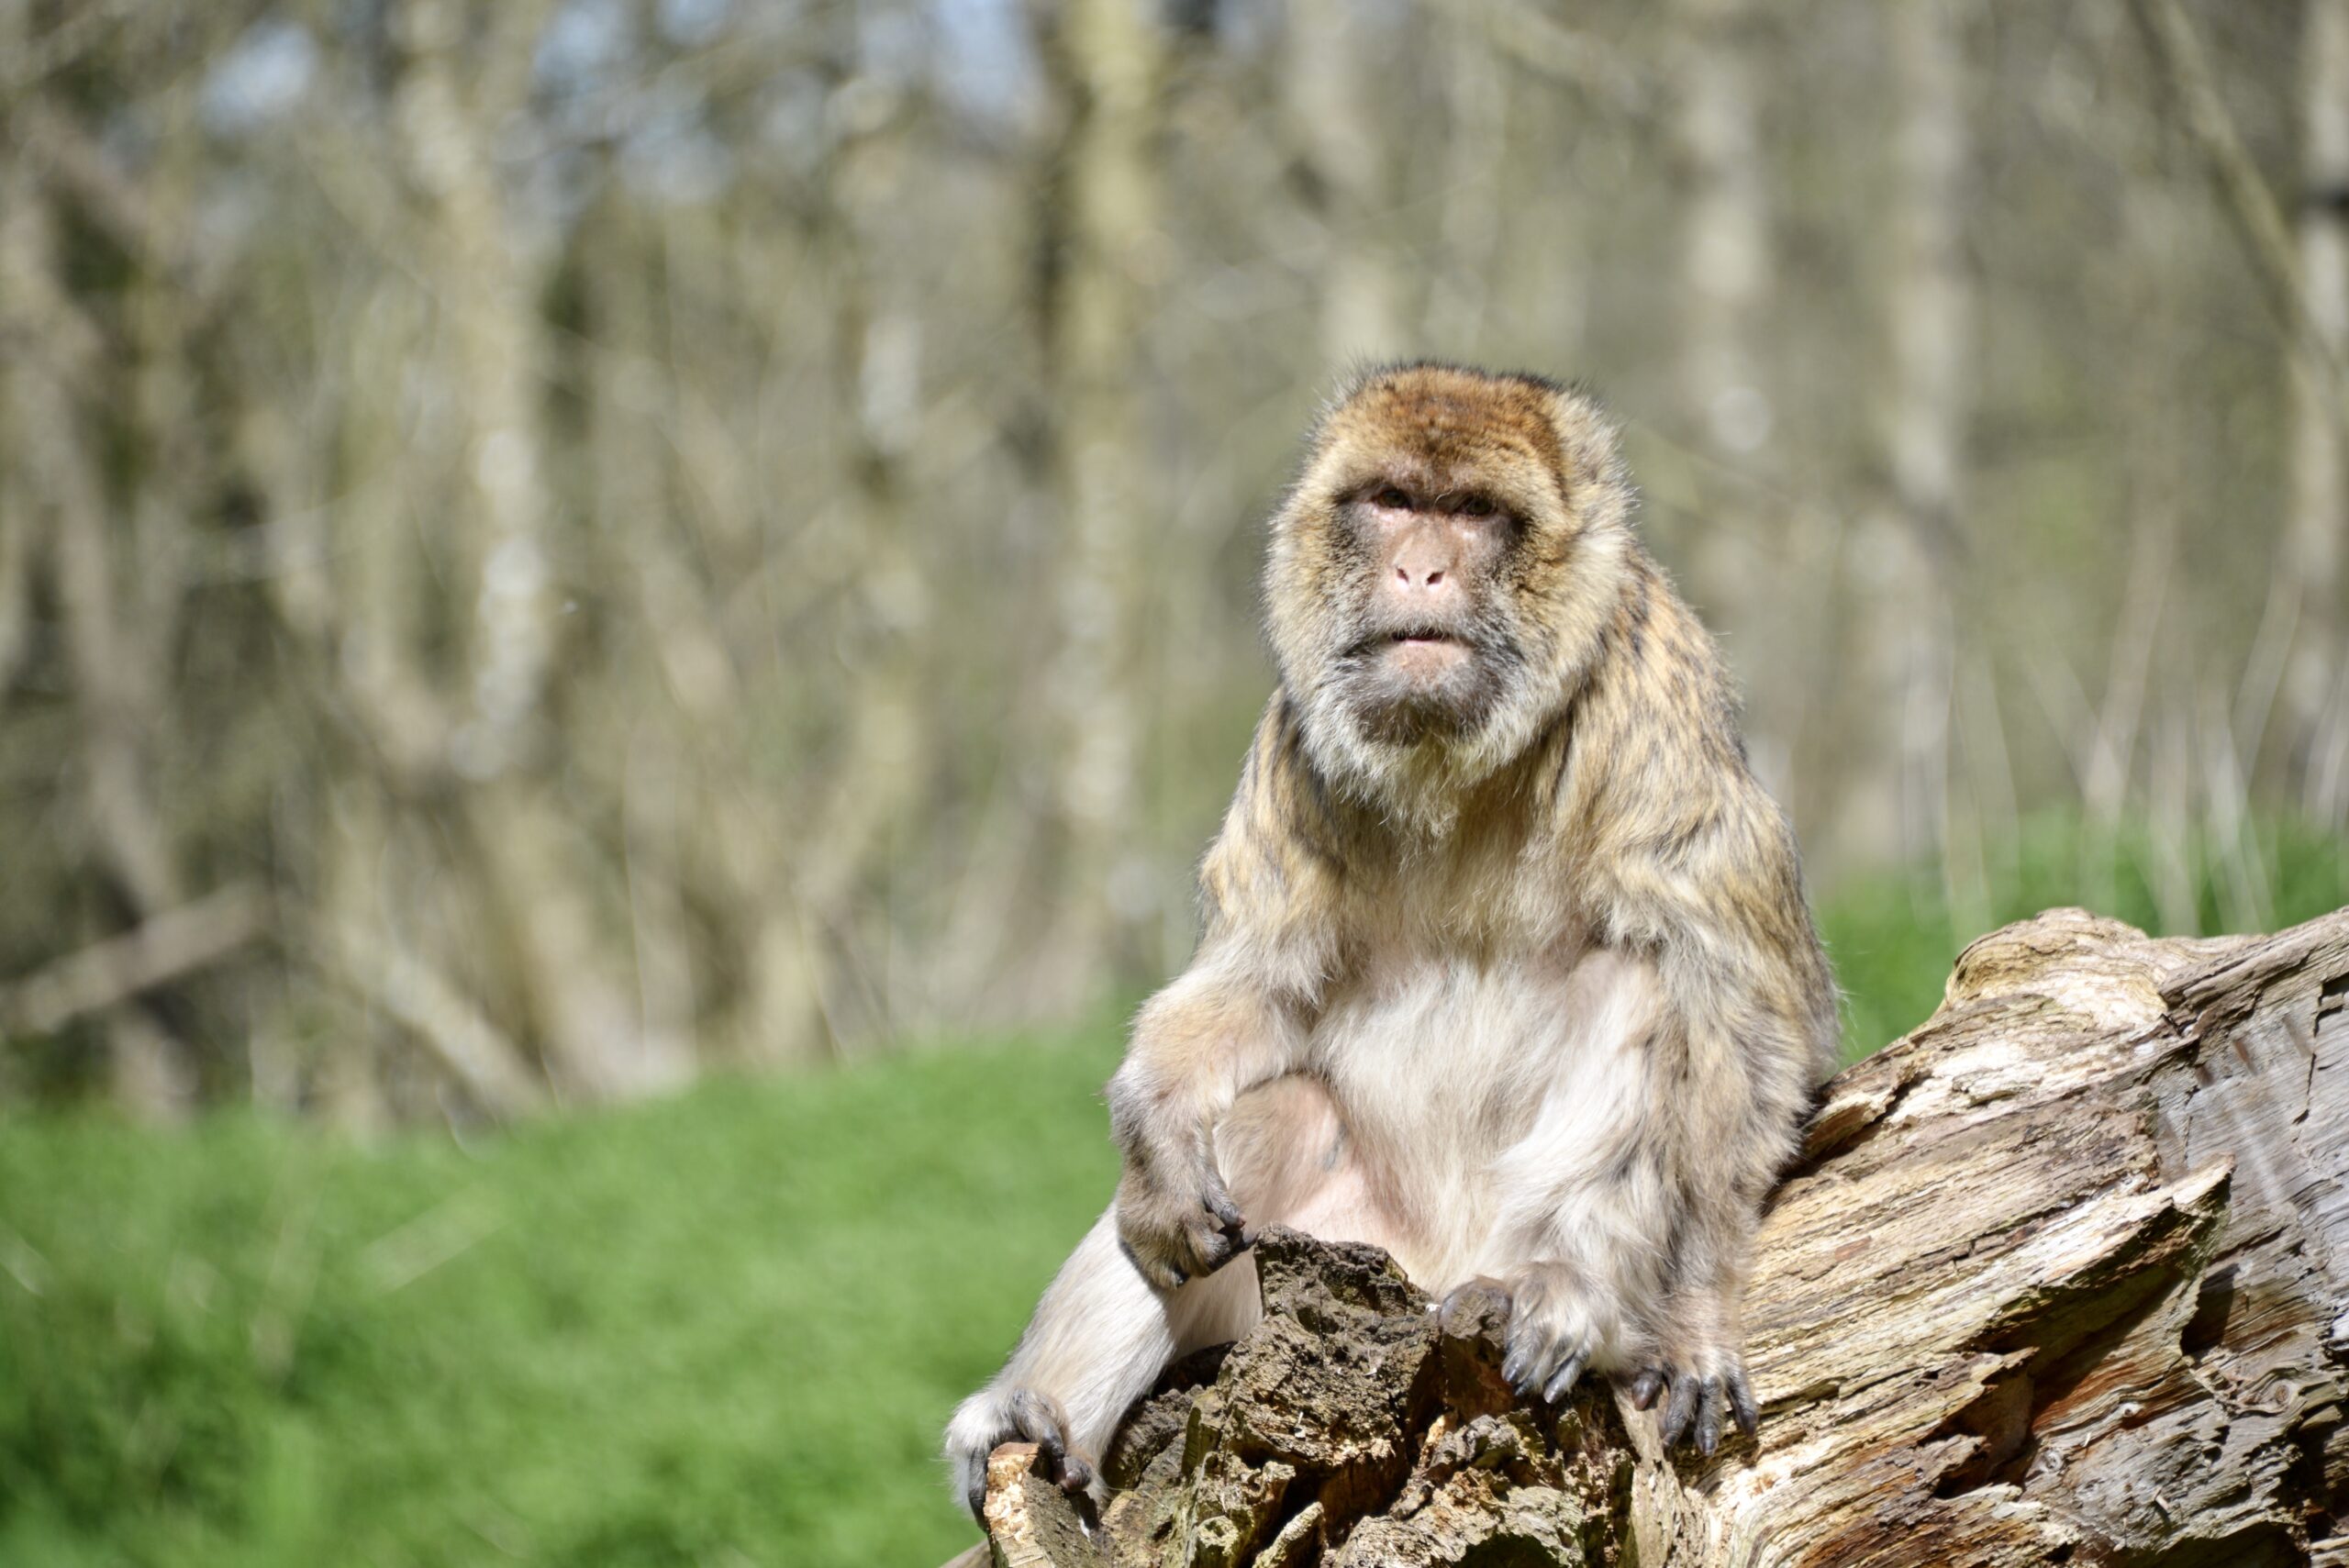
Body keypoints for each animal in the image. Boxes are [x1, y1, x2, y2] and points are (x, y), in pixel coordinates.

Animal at [944, 363, 1842, 1520]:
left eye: (1472, 512)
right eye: (1392, 500)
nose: (1419, 565)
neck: (1458, 756)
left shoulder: (1655, 705)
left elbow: (1745, 1025)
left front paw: (1690, 1322)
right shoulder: (1294, 740)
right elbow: (1258, 981)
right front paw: (1156, 1139)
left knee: (1638, 987)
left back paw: (1563, 1295)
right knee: (1271, 1119)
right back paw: (1038, 1418)